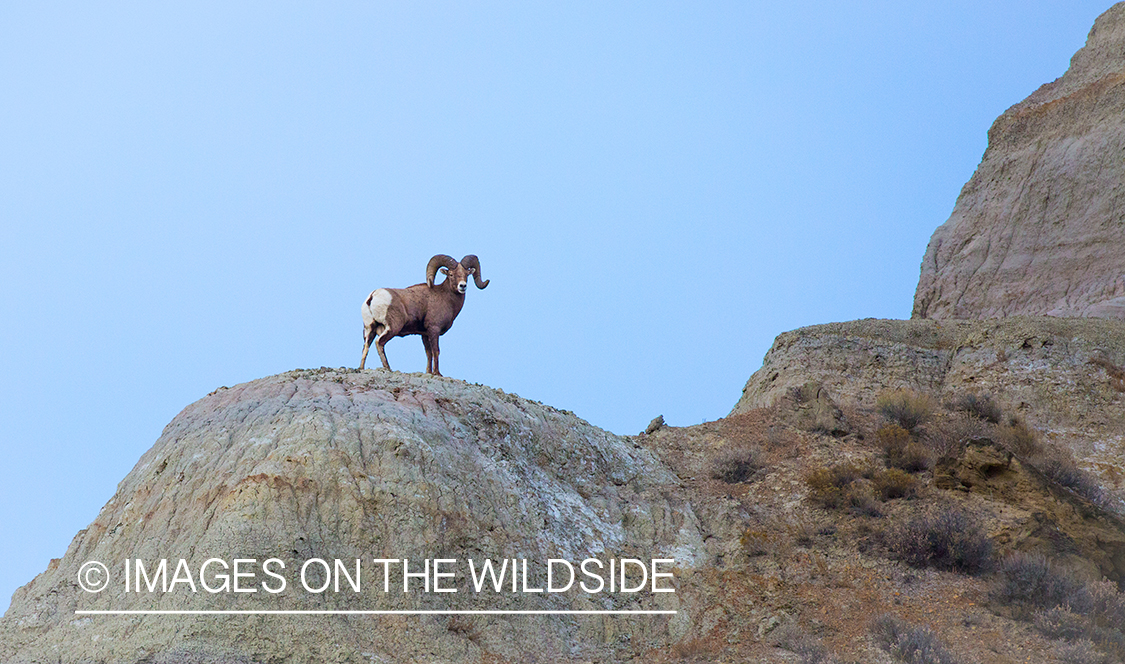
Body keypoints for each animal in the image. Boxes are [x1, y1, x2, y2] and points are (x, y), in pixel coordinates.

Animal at [359, 254, 489, 376]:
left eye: (467, 274)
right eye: (451, 274)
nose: (462, 286)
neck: (446, 297)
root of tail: (373, 296)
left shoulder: (425, 334)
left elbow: (428, 353)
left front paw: (429, 372)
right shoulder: (434, 329)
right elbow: (436, 351)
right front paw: (437, 373)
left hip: (370, 329)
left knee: (366, 347)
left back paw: (361, 368)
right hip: (392, 327)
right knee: (379, 343)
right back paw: (388, 368)